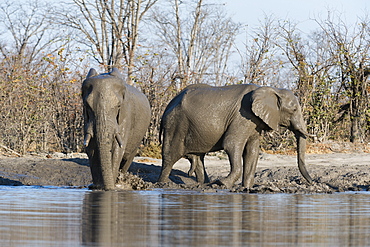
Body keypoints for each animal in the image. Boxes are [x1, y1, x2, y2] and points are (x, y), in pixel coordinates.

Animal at [158, 84, 314, 188]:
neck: (271, 89)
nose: (313, 182)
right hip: (175, 124)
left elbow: (252, 151)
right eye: (294, 109)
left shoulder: (254, 122)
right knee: (171, 155)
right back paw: (164, 184)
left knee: (198, 158)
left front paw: (246, 188)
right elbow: (231, 144)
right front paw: (222, 183)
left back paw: (204, 185)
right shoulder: (243, 116)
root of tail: (168, 105)